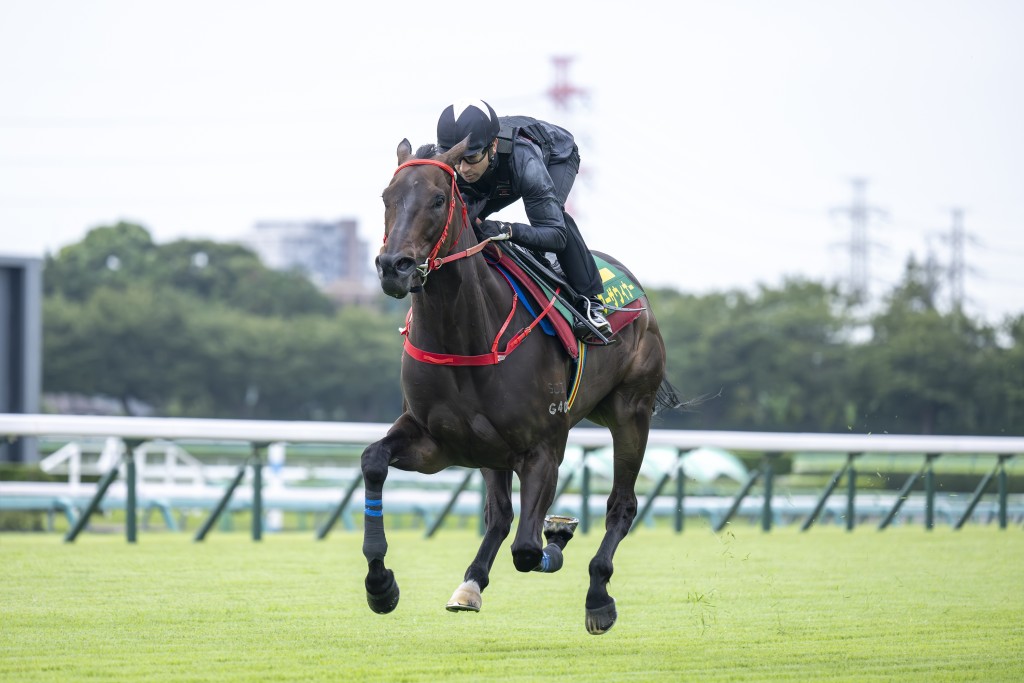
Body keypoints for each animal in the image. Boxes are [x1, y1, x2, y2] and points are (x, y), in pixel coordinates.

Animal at [362, 137, 679, 634]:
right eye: (386, 197)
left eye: (438, 199)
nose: (394, 266)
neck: (466, 335)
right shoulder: (436, 442)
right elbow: (373, 461)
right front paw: (381, 586)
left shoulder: (543, 447)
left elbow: (528, 550)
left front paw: (559, 534)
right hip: (492, 449)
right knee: (500, 516)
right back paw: (471, 583)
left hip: (631, 410)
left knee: (620, 505)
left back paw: (597, 593)